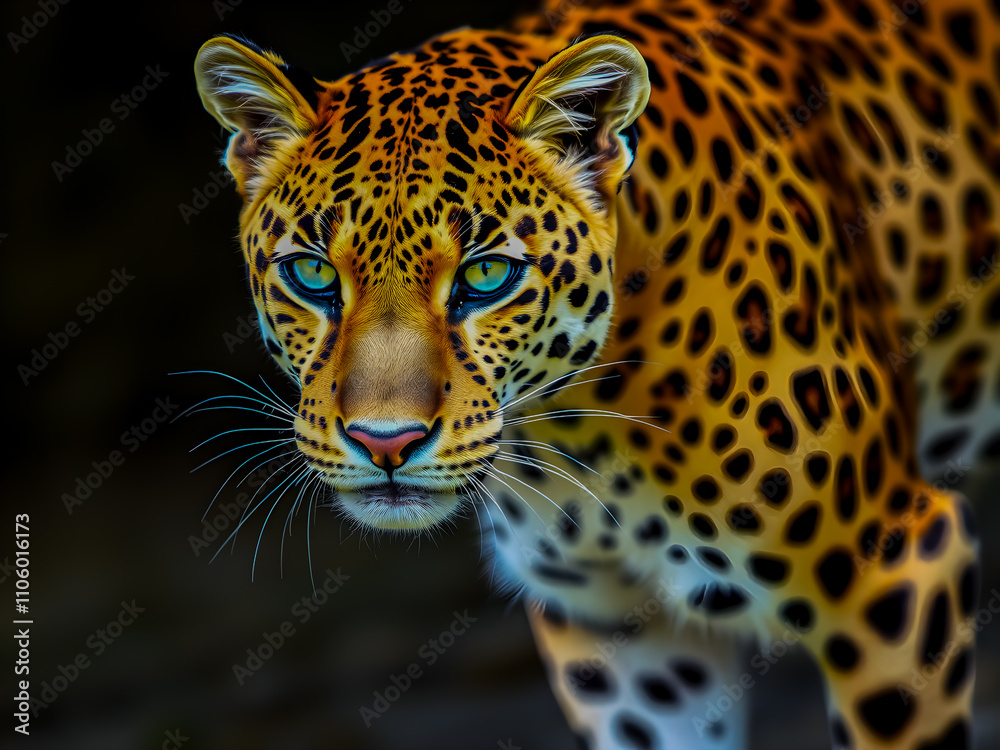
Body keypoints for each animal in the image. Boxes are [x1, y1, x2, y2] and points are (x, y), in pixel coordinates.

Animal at [194, 0, 1000, 747]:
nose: (383, 443)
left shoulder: (892, 578)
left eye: (485, 276)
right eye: (311, 274)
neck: (578, 429)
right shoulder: (623, 640)